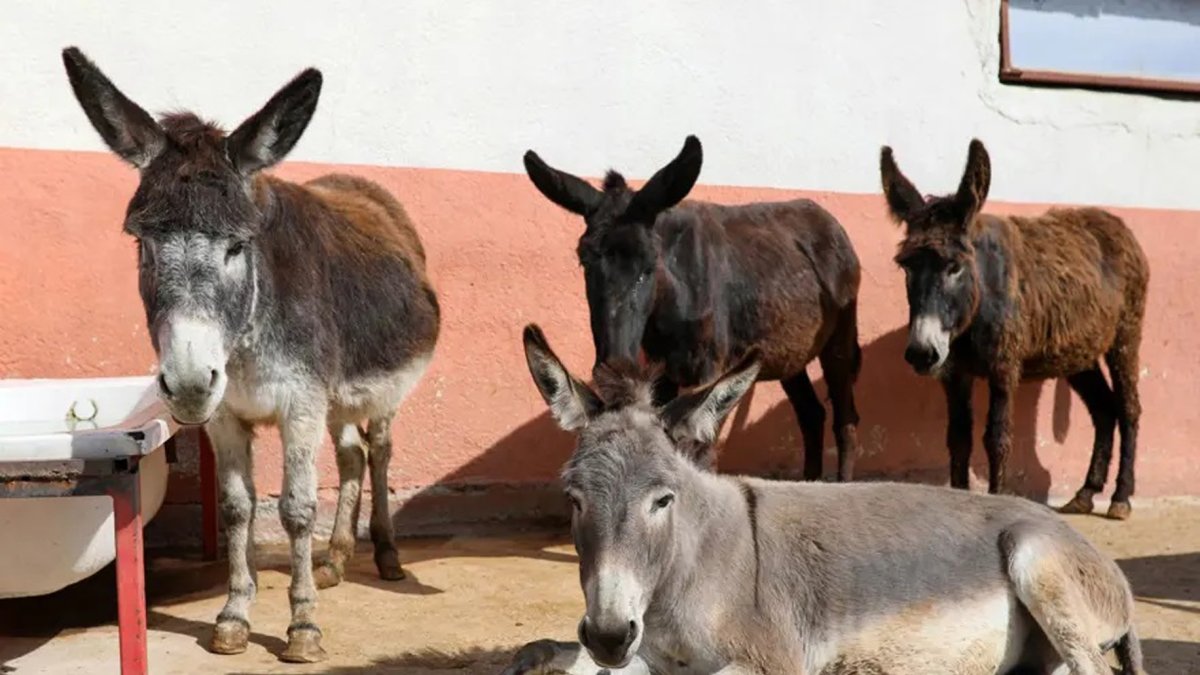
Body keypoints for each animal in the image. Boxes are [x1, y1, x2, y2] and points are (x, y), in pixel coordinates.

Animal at [62, 47, 439, 662]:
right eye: (141, 244)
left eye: (238, 246)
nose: (190, 383)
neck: (244, 342)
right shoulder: (228, 416)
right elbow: (238, 507)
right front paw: (235, 614)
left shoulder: (300, 407)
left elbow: (296, 509)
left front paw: (303, 626)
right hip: (334, 400)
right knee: (352, 456)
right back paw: (335, 559)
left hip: (379, 394)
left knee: (379, 451)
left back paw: (385, 556)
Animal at [503, 324, 1142, 674]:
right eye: (574, 499)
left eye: (663, 500)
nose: (609, 634)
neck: (686, 567)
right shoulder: (649, 656)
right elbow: (545, 653)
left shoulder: (774, 659)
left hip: (1036, 561)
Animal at [523, 136, 864, 480]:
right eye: (584, 261)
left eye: (650, 265)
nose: (613, 368)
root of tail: (830, 222)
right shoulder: (661, 375)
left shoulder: (710, 371)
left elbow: (699, 455)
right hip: (788, 354)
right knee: (811, 414)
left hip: (839, 336)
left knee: (845, 419)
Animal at [880, 139, 1149, 520]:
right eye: (906, 267)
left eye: (954, 267)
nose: (921, 353)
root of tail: (1114, 221)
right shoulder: (954, 373)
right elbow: (958, 438)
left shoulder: (1004, 367)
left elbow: (997, 439)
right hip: (1077, 353)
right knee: (1103, 408)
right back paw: (1085, 493)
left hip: (1125, 335)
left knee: (1128, 409)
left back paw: (1121, 497)